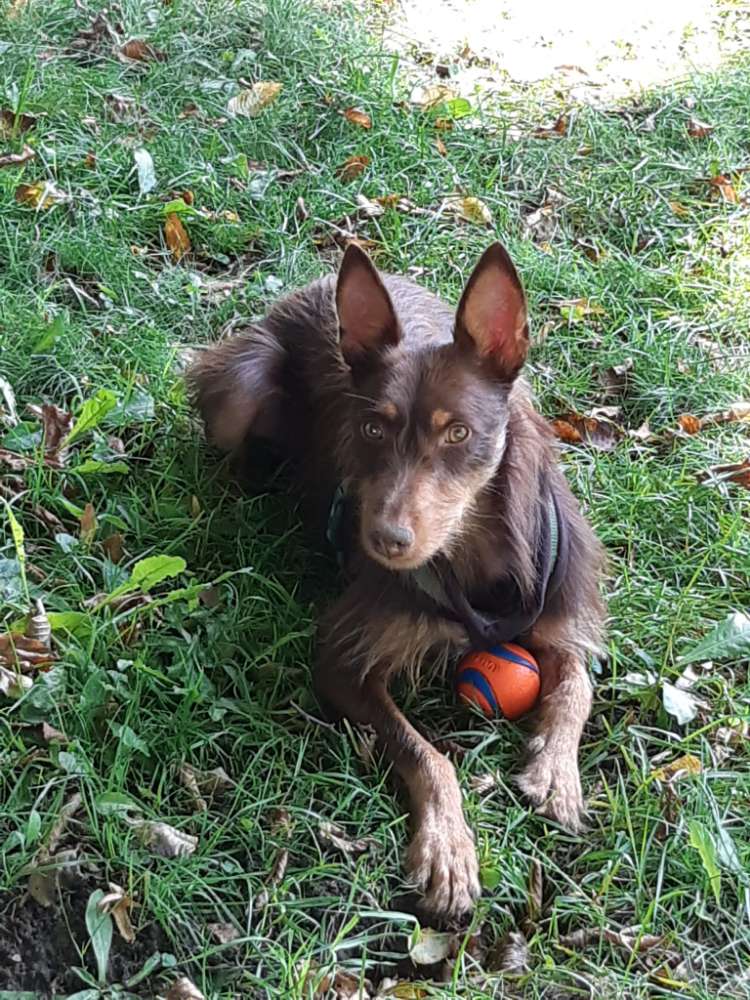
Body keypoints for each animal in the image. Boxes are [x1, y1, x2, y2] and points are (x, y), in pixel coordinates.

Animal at [188, 242, 604, 920]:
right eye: (371, 429)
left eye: (458, 432)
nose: (383, 540)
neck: (473, 551)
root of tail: (313, 284)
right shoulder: (341, 663)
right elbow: (425, 752)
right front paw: (448, 848)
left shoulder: (563, 616)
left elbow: (576, 689)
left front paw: (556, 774)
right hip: (236, 391)